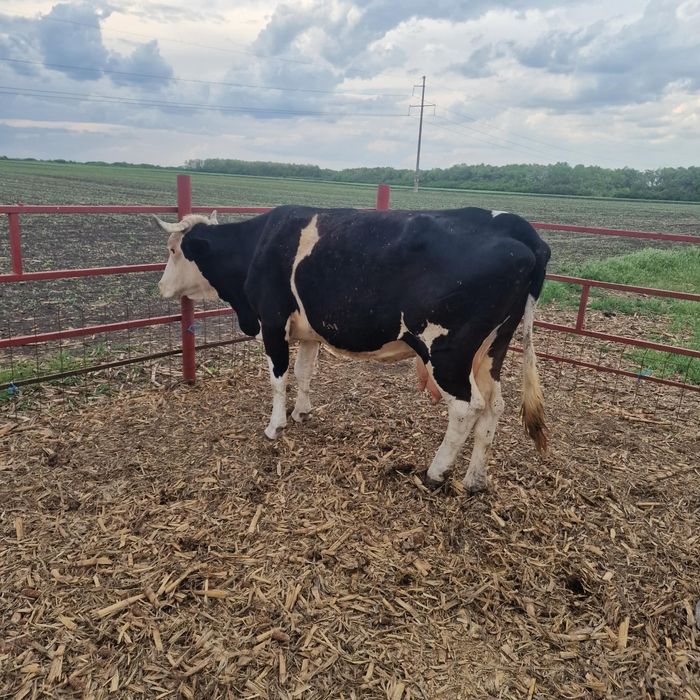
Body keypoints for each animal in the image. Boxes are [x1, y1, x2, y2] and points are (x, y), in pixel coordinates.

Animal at [155, 205, 550, 492]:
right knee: (494, 406)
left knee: (468, 407)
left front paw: (275, 425)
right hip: (491, 349)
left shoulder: (272, 322)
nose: (160, 287)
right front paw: (302, 412)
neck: (259, 246)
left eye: (173, 250)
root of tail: (519, 229)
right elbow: (304, 372)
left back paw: (436, 472)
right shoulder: (307, 331)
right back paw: (474, 479)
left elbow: (278, 377)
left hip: (447, 351)